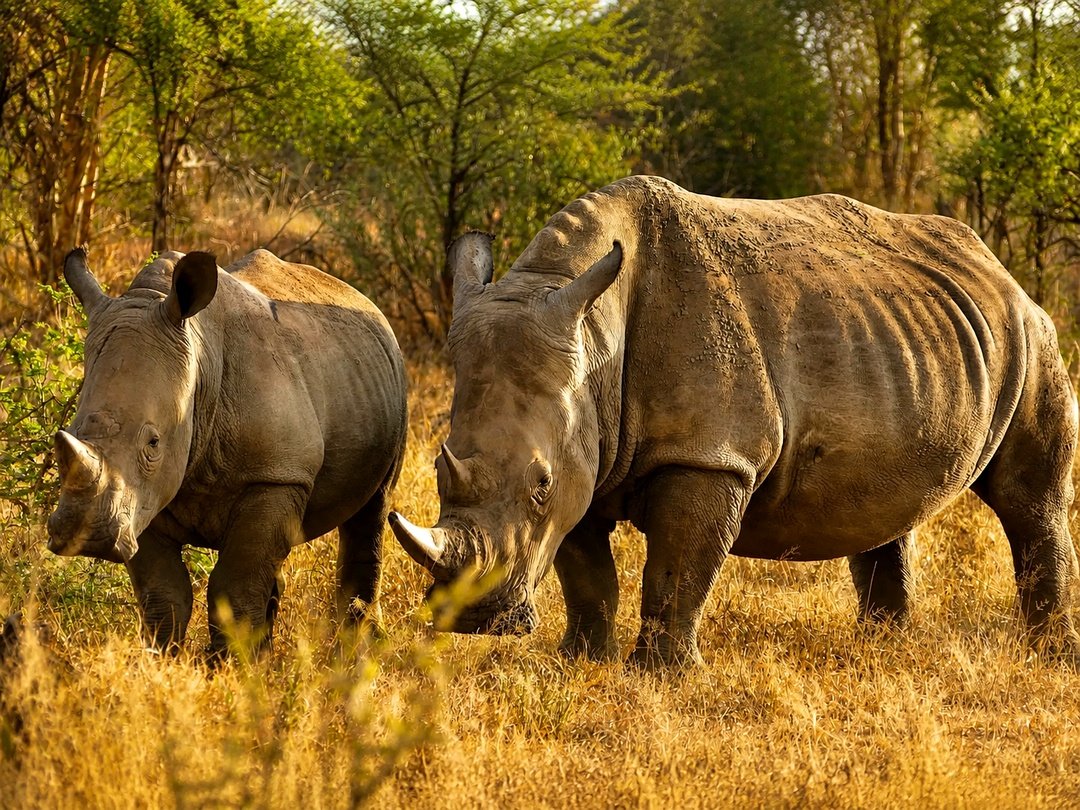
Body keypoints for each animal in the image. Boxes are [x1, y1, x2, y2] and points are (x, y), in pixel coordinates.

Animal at [47, 247, 408, 656]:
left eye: (153, 443)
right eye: (70, 432)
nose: (86, 535)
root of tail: (362, 299)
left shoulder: (275, 476)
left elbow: (234, 588)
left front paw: (230, 666)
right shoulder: (145, 496)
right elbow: (164, 592)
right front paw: (164, 658)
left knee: (372, 510)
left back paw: (359, 648)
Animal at [389, 175, 1079, 667]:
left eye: (538, 484)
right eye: (439, 467)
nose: (473, 619)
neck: (593, 335)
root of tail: (998, 269)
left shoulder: (710, 455)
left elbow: (677, 567)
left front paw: (663, 673)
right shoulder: (587, 448)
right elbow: (585, 572)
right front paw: (581, 661)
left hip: (1032, 333)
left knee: (1031, 501)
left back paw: (1048, 656)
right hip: (911, 337)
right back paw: (883, 647)